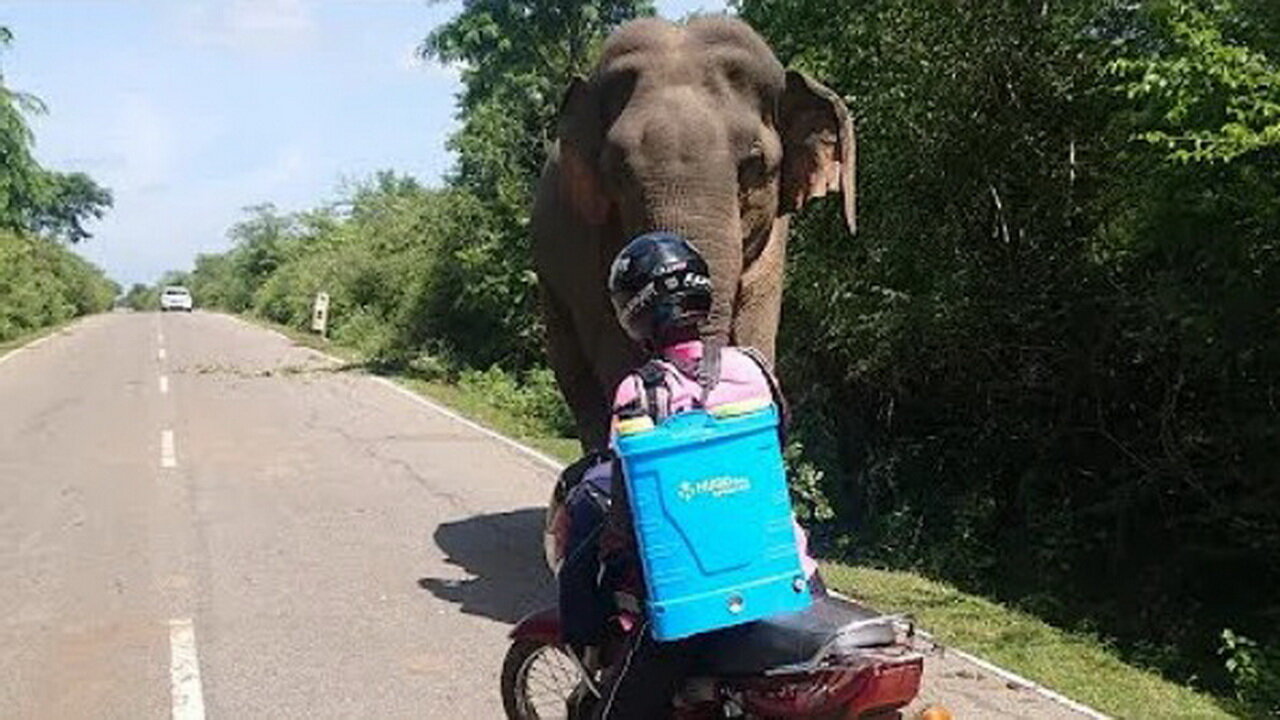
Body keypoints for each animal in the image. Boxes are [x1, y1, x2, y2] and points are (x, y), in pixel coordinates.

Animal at [535, 15, 855, 448]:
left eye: (754, 164)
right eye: (617, 171)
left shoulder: (774, 242)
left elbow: (756, 332)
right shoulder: (587, 246)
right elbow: (616, 357)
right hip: (551, 284)